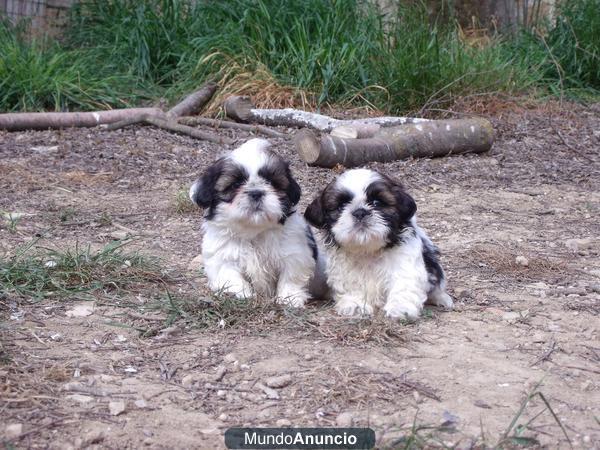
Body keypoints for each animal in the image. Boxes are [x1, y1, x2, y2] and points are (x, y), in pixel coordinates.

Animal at [191, 137, 324, 306]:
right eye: (235, 185)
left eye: (273, 183)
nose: (256, 192)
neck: (254, 231)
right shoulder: (222, 255)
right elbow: (230, 275)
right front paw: (239, 294)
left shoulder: (294, 252)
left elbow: (290, 275)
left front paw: (289, 298)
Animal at [308, 169, 452, 320]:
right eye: (341, 206)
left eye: (377, 202)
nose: (360, 212)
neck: (368, 249)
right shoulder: (344, 269)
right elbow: (352, 285)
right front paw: (355, 304)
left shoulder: (406, 263)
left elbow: (403, 284)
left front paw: (401, 308)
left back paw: (442, 298)